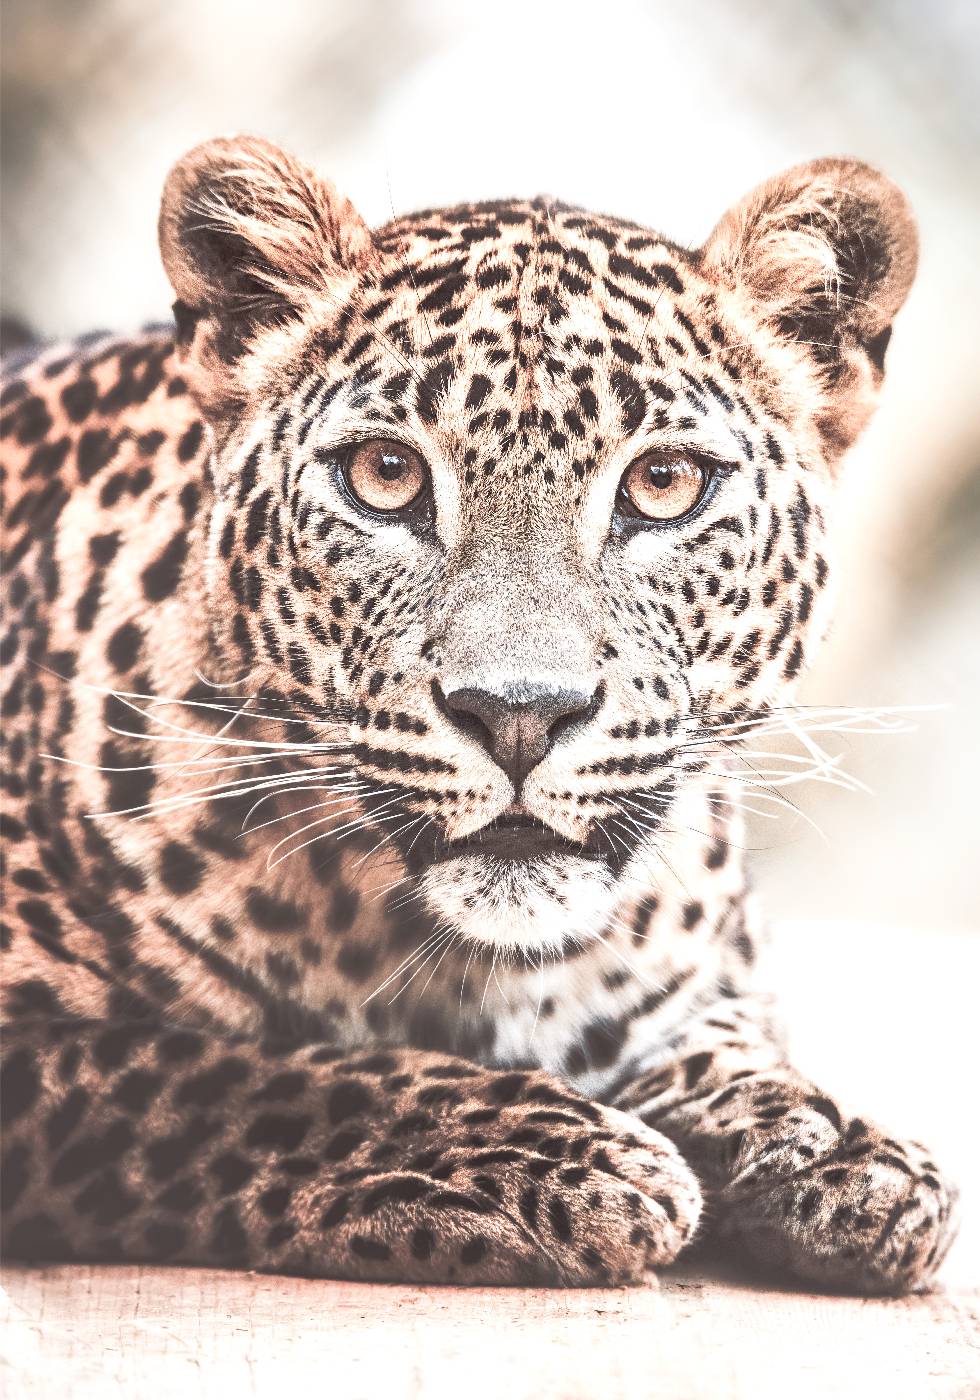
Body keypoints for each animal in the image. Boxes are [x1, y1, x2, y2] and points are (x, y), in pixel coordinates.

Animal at [0, 136, 959, 1293]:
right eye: (384, 474)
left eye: (665, 482)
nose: (517, 714)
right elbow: (221, 1073)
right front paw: (552, 1156)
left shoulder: (714, 976)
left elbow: (728, 1044)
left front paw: (843, 1150)